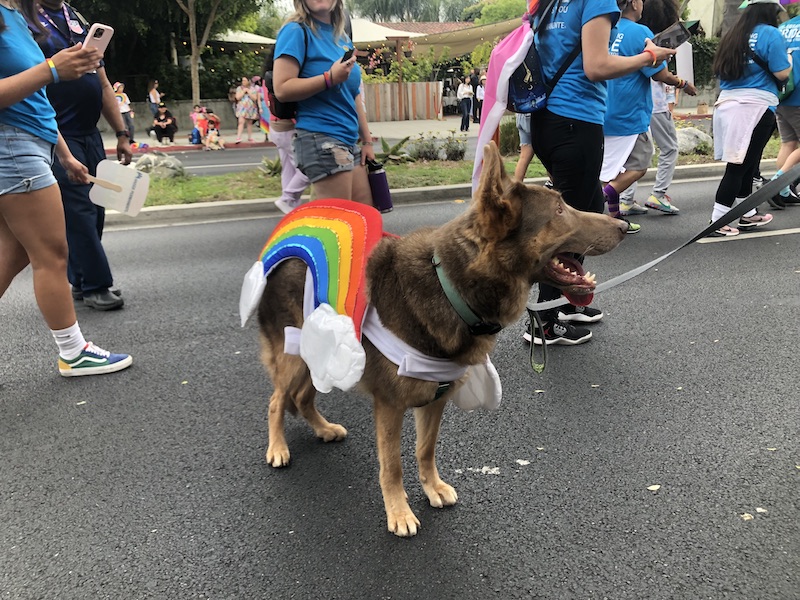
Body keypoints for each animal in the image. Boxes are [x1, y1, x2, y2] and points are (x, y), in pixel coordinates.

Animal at [260, 143, 628, 536]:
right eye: (559, 210)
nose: (623, 226)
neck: (451, 287)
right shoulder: (389, 406)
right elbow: (392, 465)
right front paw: (399, 511)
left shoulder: (435, 399)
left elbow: (425, 450)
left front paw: (431, 487)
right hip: (294, 356)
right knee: (277, 401)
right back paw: (278, 447)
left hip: (318, 355)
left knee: (301, 397)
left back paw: (323, 428)